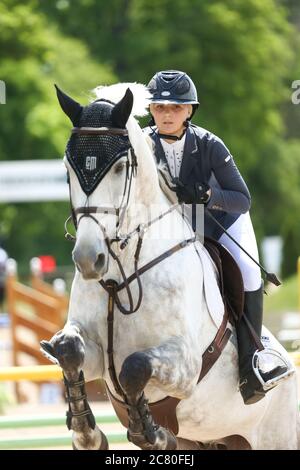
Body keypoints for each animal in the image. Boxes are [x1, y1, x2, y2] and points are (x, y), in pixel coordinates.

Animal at [40, 82, 300, 450]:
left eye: (120, 168)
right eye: (68, 167)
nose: (89, 260)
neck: (120, 275)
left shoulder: (184, 365)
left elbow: (133, 367)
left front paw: (152, 433)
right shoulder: (93, 353)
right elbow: (68, 351)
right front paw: (87, 433)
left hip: (276, 435)